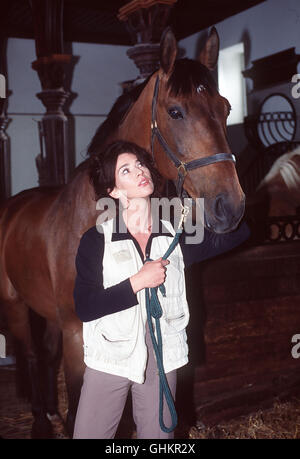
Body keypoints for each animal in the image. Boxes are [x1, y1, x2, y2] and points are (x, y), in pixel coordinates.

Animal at [0, 27, 245, 438]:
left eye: (226, 108)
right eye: (175, 111)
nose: (231, 206)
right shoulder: (77, 334)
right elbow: (79, 409)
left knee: (44, 355)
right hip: (16, 306)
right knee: (33, 356)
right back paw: (40, 421)